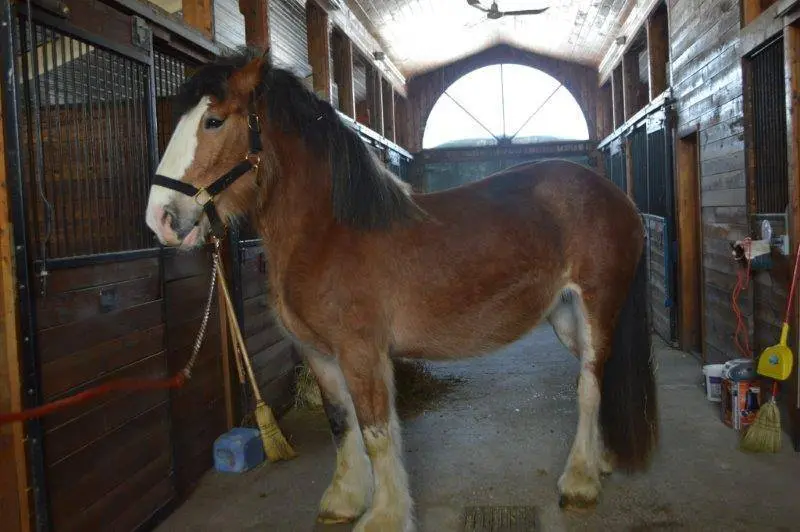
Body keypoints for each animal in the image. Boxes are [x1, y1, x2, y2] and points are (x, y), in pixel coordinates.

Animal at [144, 49, 658, 532]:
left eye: (213, 121)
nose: (160, 219)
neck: (328, 233)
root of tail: (619, 199)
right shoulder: (320, 355)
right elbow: (341, 423)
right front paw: (344, 500)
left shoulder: (361, 353)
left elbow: (376, 432)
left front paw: (385, 516)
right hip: (567, 318)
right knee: (597, 375)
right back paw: (600, 460)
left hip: (597, 306)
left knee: (588, 387)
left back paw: (580, 482)